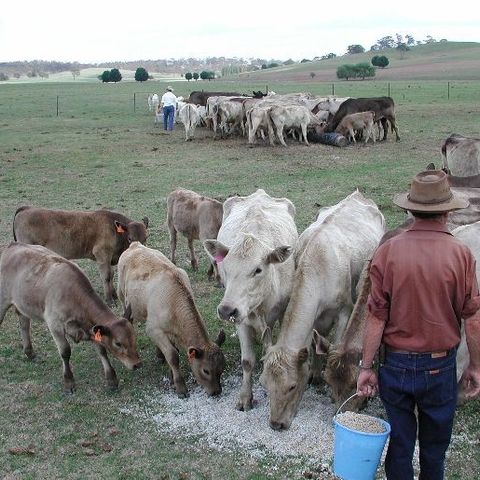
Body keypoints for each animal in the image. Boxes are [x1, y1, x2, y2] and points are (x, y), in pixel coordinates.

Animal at [0, 244, 142, 394]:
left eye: (135, 338)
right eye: (118, 343)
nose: (137, 364)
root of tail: (13, 245)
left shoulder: (91, 327)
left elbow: (101, 350)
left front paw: (111, 379)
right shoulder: (54, 324)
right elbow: (65, 352)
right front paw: (69, 382)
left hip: (23, 304)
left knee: (24, 324)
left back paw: (30, 352)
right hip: (3, 300)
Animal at [13, 205, 148, 304]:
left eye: (146, 238)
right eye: (130, 238)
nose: (140, 250)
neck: (114, 229)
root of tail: (26, 208)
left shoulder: (109, 257)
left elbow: (111, 273)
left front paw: (113, 294)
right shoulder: (102, 254)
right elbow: (106, 276)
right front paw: (109, 299)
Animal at [117, 244, 227, 398]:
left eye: (222, 367)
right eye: (206, 370)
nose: (216, 391)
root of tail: (135, 245)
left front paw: (171, 376)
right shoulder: (153, 329)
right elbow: (173, 355)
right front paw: (180, 386)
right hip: (122, 294)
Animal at [202, 189, 296, 410]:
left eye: (258, 270)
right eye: (225, 267)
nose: (226, 310)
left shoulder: (283, 310)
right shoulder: (241, 319)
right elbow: (247, 361)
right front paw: (245, 396)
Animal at [258, 189, 386, 430]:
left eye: (292, 386)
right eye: (263, 383)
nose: (276, 424)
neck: (319, 268)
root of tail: (359, 194)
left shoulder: (344, 308)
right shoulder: (315, 317)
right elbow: (314, 344)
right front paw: (315, 375)